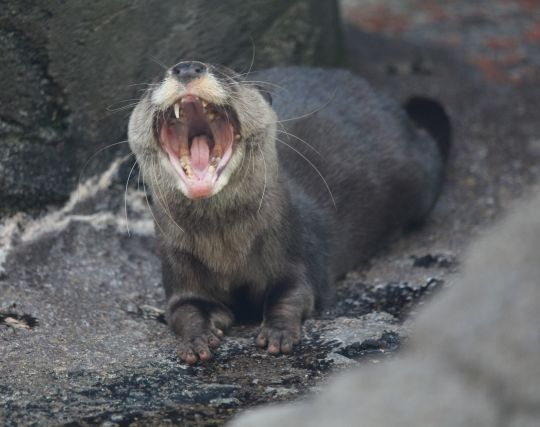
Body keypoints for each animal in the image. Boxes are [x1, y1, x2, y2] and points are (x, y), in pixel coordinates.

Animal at [129, 61, 450, 364]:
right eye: (155, 81)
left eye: (226, 73)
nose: (186, 67)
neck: (228, 252)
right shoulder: (177, 265)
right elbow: (184, 310)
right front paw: (196, 339)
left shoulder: (297, 244)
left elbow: (294, 292)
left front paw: (278, 332)